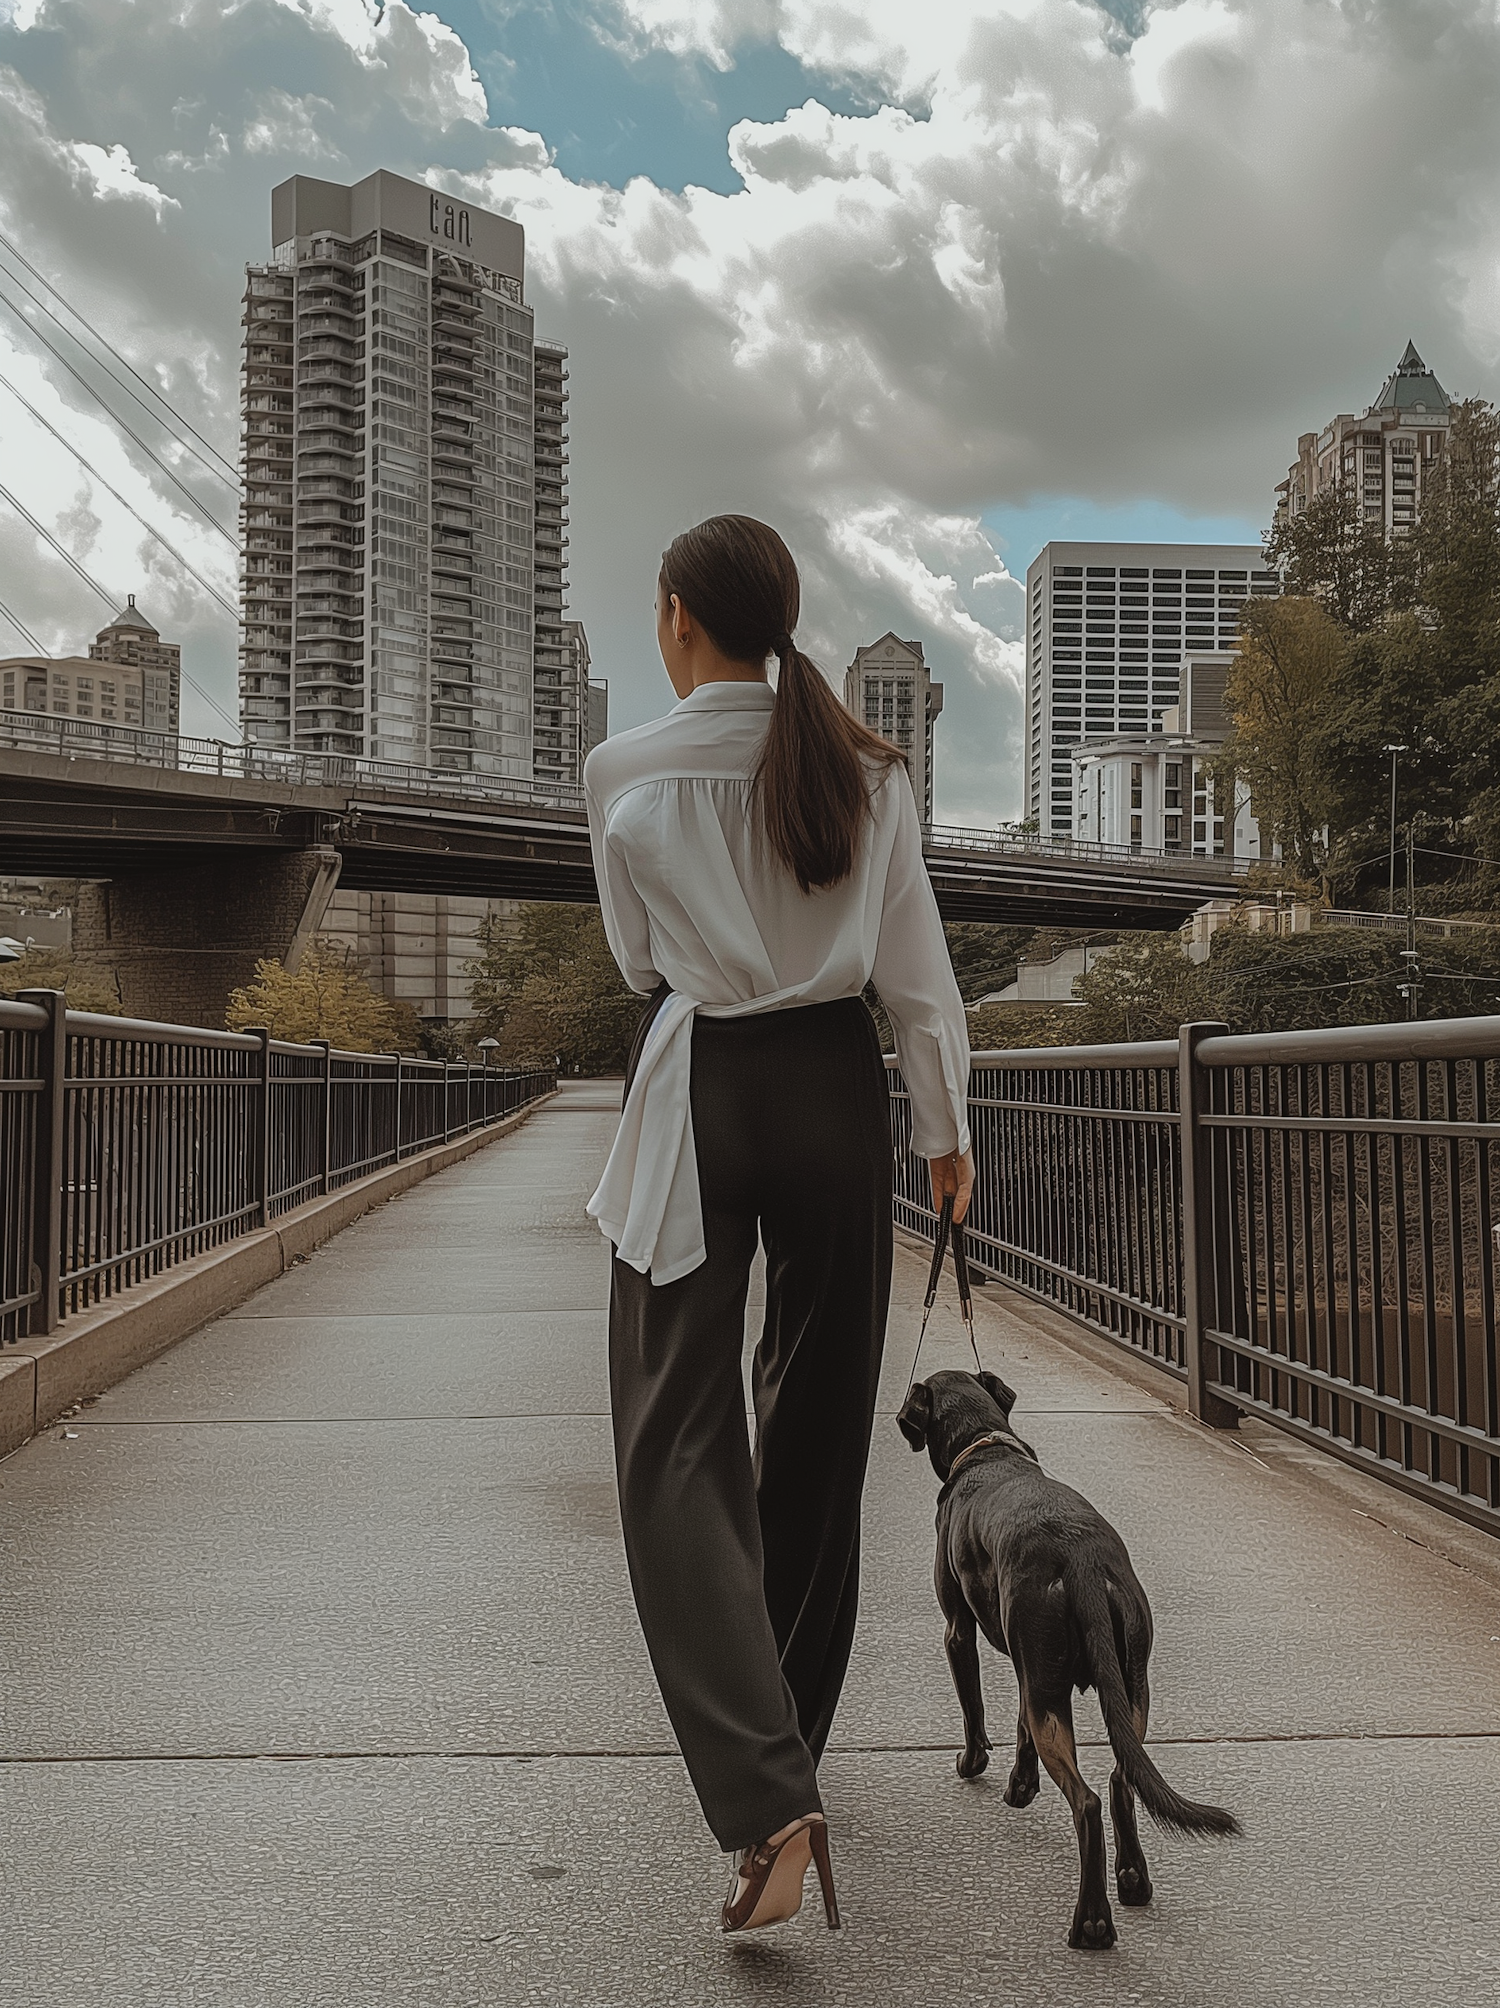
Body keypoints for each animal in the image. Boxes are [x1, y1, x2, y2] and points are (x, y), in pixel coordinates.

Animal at [899, 1365, 1236, 1943]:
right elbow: (1017, 1726)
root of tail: (1081, 1556)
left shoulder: (959, 1632)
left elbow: (974, 1708)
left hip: (1051, 1696)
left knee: (1088, 1802)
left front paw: (973, 1763)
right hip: (1124, 1686)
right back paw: (1132, 1880)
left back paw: (1093, 1922)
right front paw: (1020, 1785)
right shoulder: (1028, 1668)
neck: (986, 1448)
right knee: (1122, 1779)